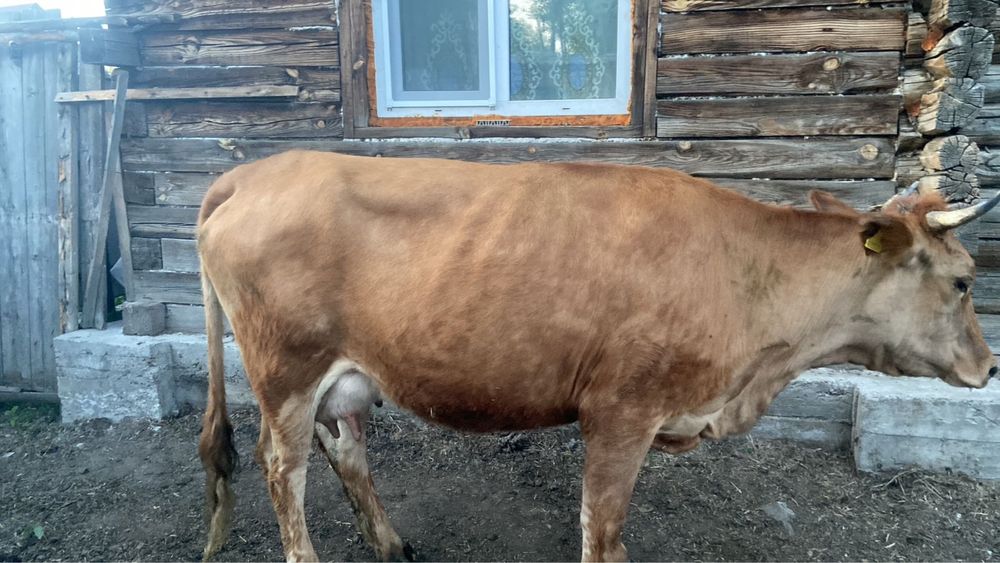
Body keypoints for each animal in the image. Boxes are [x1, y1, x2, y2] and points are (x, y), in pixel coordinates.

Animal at [195, 150, 997, 562]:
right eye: (964, 279)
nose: (988, 367)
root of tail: (259, 170)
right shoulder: (621, 410)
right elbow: (602, 530)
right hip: (286, 368)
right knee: (282, 471)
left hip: (345, 375)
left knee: (347, 450)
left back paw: (391, 545)